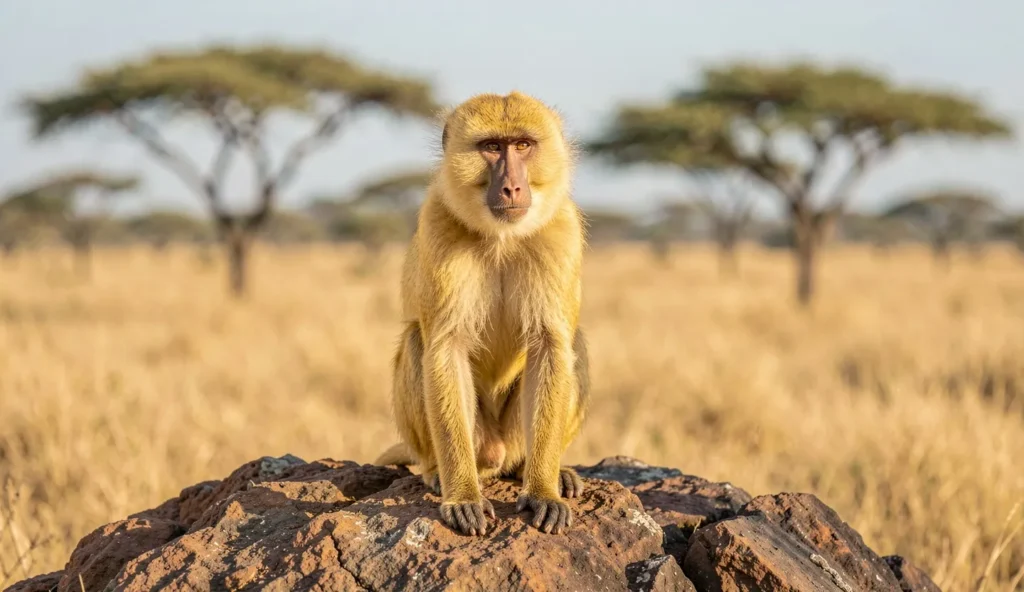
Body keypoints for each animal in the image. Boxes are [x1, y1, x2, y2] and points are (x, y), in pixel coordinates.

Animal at [374, 91, 591, 537]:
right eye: (492, 147)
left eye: (523, 145)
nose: (511, 187)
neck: (502, 238)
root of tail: (496, 452)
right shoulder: (438, 224)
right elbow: (446, 349)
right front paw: (462, 495)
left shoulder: (561, 230)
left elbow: (550, 346)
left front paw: (543, 490)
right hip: (476, 440)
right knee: (418, 341)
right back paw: (438, 471)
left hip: (513, 437)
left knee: (572, 343)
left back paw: (538, 470)